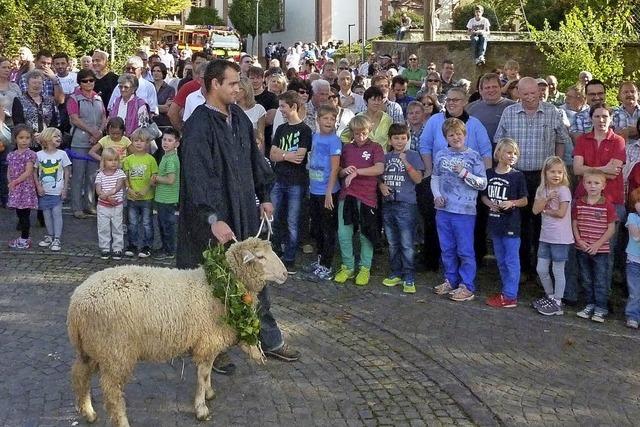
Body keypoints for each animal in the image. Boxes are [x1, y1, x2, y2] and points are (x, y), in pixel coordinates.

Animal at [67, 237, 284, 427]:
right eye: (260, 257)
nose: (285, 274)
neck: (220, 287)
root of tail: (76, 304)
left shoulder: (208, 342)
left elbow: (208, 371)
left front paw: (209, 393)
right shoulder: (208, 341)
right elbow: (202, 374)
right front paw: (201, 408)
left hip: (92, 348)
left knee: (80, 376)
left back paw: (89, 413)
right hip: (115, 351)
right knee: (112, 393)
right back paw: (122, 422)